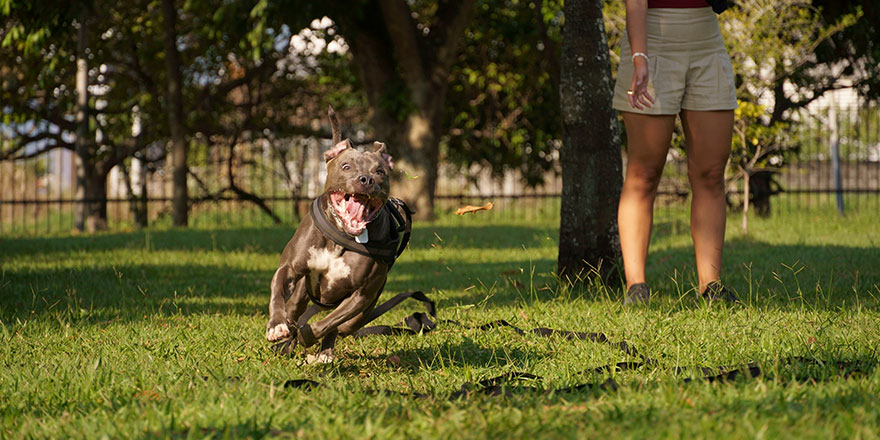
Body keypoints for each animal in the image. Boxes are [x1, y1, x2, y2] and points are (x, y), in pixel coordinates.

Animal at [262, 107, 398, 364]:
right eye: (346, 167)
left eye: (380, 171)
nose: (367, 179)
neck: (341, 236)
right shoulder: (289, 268)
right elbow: (277, 294)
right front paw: (276, 326)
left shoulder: (361, 295)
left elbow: (329, 323)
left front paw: (309, 337)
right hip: (301, 293)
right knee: (293, 310)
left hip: (361, 310)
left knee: (341, 325)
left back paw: (322, 350)